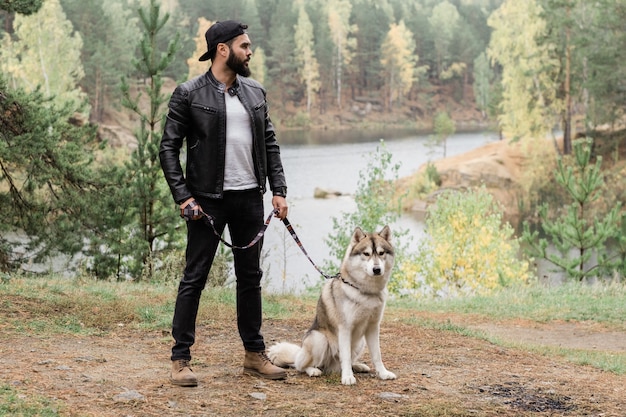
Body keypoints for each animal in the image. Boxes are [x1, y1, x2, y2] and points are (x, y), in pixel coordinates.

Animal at [266, 226, 394, 386]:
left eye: (381, 253)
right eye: (366, 254)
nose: (377, 269)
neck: (365, 291)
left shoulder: (373, 327)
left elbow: (377, 355)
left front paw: (383, 373)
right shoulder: (345, 328)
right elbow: (346, 356)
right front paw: (347, 377)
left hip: (360, 343)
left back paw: (358, 366)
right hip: (319, 340)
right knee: (301, 366)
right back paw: (313, 370)